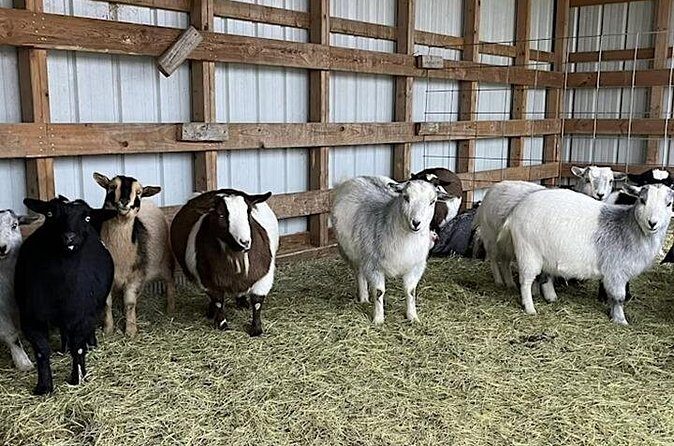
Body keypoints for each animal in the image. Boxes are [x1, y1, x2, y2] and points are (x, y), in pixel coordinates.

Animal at [15, 197, 115, 394]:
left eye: (87, 218)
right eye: (50, 213)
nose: (69, 237)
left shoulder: (84, 316)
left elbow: (78, 349)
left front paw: (77, 378)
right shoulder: (31, 319)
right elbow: (41, 351)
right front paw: (44, 387)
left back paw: (90, 344)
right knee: (64, 330)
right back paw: (64, 348)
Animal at [93, 173, 175, 337]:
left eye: (138, 193)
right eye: (112, 187)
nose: (125, 202)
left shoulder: (135, 277)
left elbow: (129, 304)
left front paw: (130, 330)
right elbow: (107, 304)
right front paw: (108, 329)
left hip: (165, 261)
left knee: (170, 282)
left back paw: (170, 308)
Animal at [170, 189, 279, 336]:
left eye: (249, 212)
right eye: (221, 215)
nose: (245, 242)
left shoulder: (264, 278)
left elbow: (257, 303)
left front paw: (256, 330)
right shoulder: (207, 281)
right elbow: (218, 302)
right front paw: (222, 324)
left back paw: (241, 303)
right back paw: (211, 313)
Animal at [332, 176, 447, 324]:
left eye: (432, 202)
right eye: (406, 197)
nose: (416, 223)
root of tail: (359, 177)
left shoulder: (415, 266)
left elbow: (410, 291)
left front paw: (413, 316)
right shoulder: (373, 265)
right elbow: (379, 292)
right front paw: (378, 319)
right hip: (351, 253)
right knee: (360, 273)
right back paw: (364, 298)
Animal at [498, 185, 673, 323]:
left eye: (669, 203)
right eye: (642, 200)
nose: (652, 223)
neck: (630, 227)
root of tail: (514, 212)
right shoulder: (616, 272)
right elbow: (618, 297)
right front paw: (621, 320)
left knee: (542, 277)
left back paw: (548, 297)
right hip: (528, 252)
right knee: (525, 281)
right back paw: (530, 308)